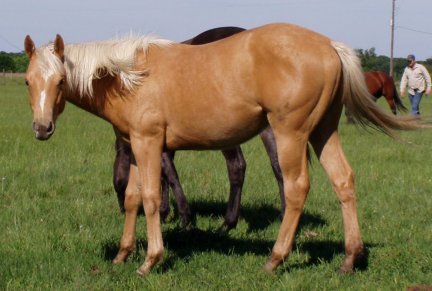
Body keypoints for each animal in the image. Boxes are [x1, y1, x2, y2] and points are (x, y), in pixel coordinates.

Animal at [113, 26, 284, 233]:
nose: (122, 209)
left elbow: (170, 174)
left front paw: (184, 217)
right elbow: (163, 176)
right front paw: (164, 212)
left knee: (237, 167)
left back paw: (227, 223)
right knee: (279, 165)